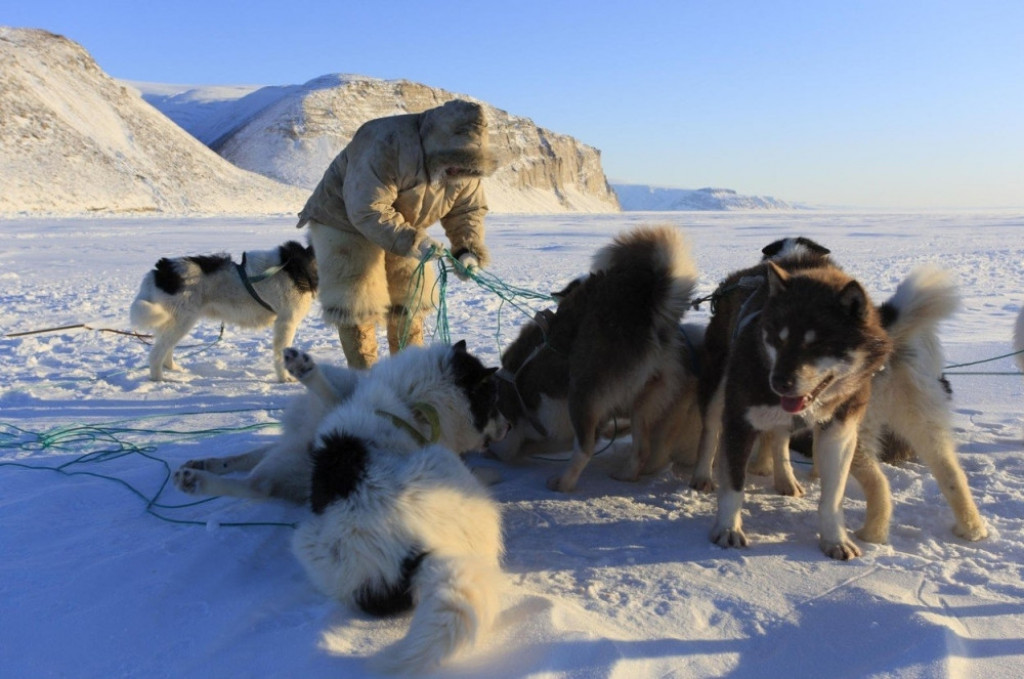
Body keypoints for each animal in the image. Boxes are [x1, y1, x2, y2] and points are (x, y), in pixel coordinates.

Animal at [130, 241, 317, 383]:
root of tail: (161, 270)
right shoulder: (286, 322)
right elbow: (281, 355)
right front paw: (284, 379)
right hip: (181, 321)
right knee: (157, 354)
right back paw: (160, 381)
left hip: (175, 322)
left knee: (165, 349)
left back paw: (174, 369)